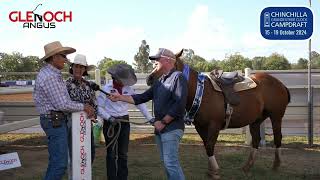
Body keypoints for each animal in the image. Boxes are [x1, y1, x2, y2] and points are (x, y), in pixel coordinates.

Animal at [146, 49, 292, 179]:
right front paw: (211, 170)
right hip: (256, 120)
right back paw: (247, 167)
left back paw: (276, 165)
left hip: (276, 117)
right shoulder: (201, 126)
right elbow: (206, 145)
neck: (200, 91)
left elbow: (210, 145)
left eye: (163, 64)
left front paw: (215, 171)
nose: (149, 78)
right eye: (155, 64)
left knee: (278, 138)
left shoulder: (214, 125)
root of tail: (280, 84)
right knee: (256, 140)